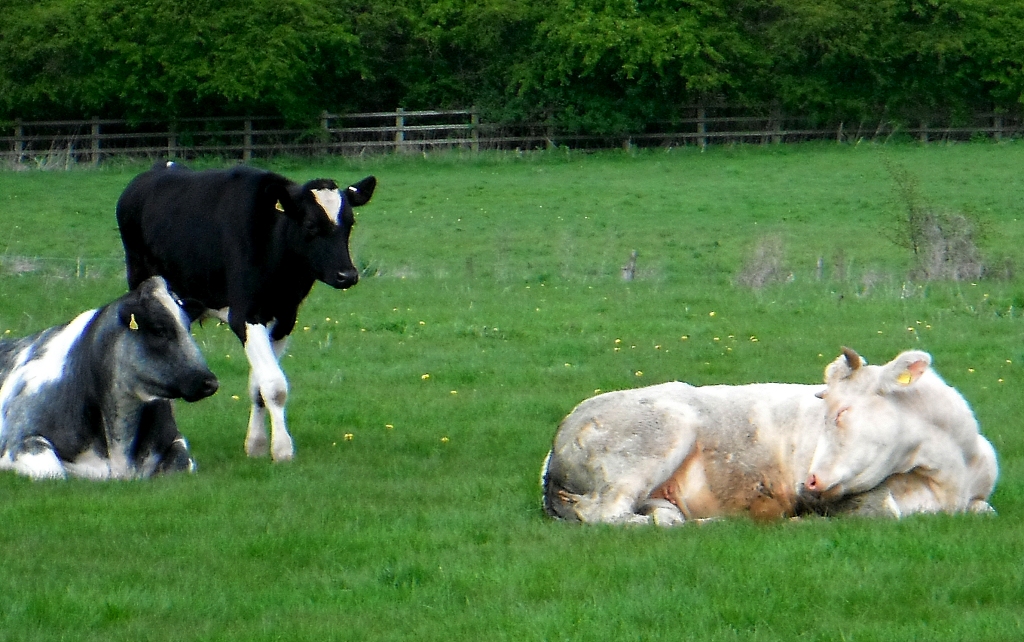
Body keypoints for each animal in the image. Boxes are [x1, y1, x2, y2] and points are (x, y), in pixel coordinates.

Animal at [0, 276, 219, 480]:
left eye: (188, 328)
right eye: (159, 329)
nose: (210, 382)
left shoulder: (176, 442)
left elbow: (181, 464)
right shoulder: (20, 441)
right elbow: (54, 472)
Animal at [116, 162, 376, 462]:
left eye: (350, 223)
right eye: (311, 224)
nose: (347, 275)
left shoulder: (285, 317)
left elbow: (259, 385)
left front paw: (257, 445)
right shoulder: (244, 316)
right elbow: (274, 385)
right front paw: (283, 450)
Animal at [541, 348, 997, 525]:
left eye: (842, 412)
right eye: (824, 410)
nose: (807, 483)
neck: (951, 473)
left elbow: (986, 510)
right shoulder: (858, 502)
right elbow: (888, 512)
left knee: (659, 513)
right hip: (658, 438)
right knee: (605, 513)